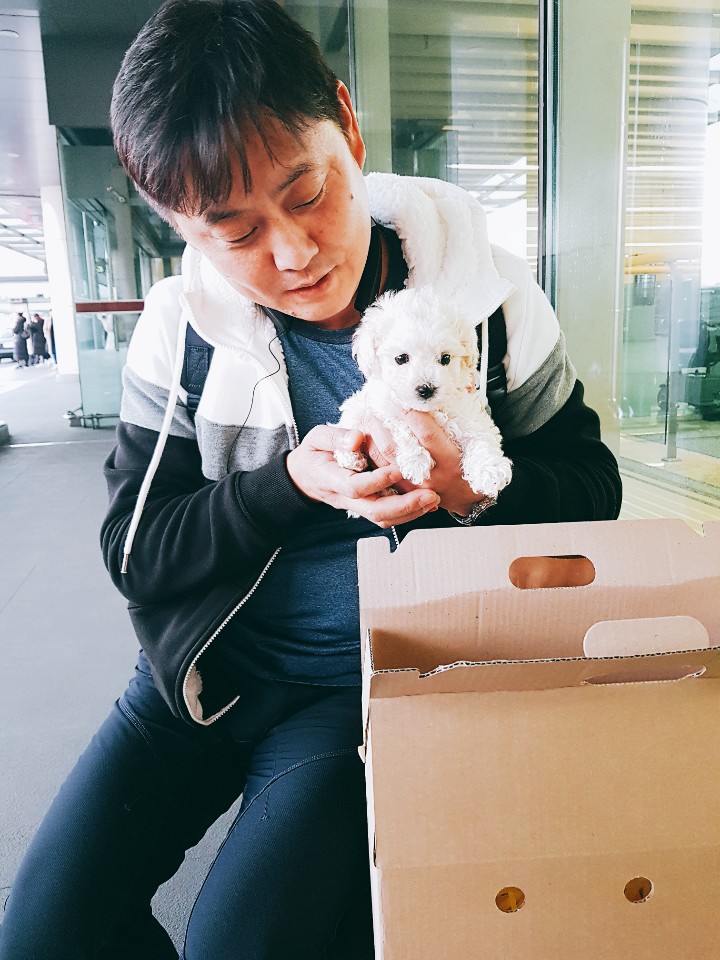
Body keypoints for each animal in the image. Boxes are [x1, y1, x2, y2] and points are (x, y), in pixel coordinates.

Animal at [334, 286, 513, 501]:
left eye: (445, 358)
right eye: (401, 358)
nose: (426, 389)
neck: (430, 411)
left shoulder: (468, 415)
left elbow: (481, 437)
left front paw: (490, 472)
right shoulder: (383, 407)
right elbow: (400, 425)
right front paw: (416, 461)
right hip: (356, 410)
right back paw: (352, 458)